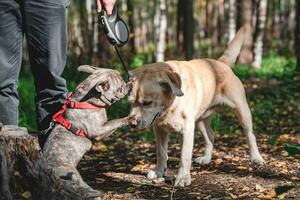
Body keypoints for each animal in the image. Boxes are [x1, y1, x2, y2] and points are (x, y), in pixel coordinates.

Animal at [127, 25, 264, 187]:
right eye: (130, 102)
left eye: (147, 103)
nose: (132, 124)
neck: (170, 107)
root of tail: (221, 62)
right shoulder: (159, 129)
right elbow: (161, 152)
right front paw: (159, 171)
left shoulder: (187, 130)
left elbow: (184, 157)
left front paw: (182, 178)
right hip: (200, 121)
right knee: (210, 136)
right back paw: (206, 158)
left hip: (242, 112)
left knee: (250, 135)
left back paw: (256, 158)